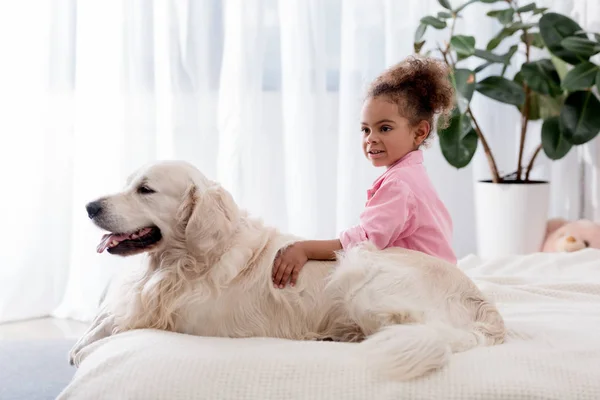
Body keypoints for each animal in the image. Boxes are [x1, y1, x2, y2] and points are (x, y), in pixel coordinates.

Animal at [70, 160, 506, 382]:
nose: (89, 206)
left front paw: (85, 347)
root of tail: (483, 307)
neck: (188, 260)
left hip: (360, 274)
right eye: (128, 183)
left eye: (145, 190)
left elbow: (117, 329)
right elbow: (108, 319)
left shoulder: (188, 323)